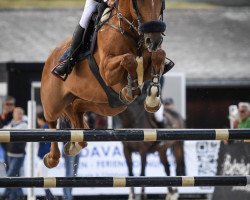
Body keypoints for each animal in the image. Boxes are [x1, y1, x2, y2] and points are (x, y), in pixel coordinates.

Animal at [40, 0, 166, 169]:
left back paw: (75, 144)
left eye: (161, 4)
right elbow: (128, 59)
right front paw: (131, 88)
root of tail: (50, 58)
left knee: (76, 107)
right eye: (138, 4)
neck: (130, 32)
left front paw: (152, 98)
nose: (154, 40)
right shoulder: (107, 70)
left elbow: (159, 55)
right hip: (53, 103)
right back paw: (52, 158)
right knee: (52, 122)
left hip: (110, 105)